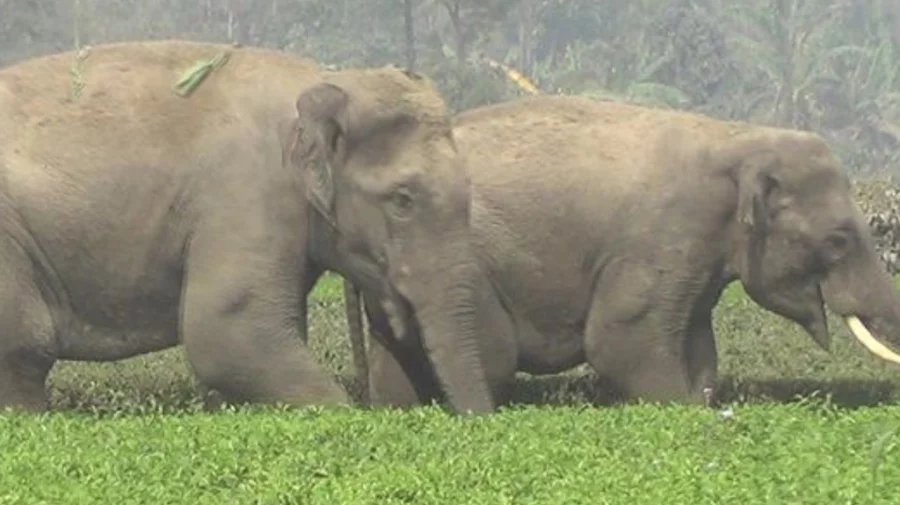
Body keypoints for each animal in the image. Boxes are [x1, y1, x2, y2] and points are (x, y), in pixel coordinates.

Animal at [345, 94, 900, 409]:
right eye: (838, 240)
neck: (740, 139)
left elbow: (697, 344)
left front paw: (702, 401)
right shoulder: (666, 234)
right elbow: (619, 340)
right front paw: (686, 410)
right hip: (461, 266)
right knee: (494, 356)